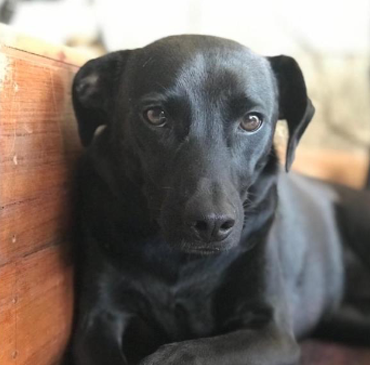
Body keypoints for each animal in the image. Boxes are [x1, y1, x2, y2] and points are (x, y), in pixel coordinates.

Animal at [69, 34, 370, 364]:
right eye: (156, 115)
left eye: (252, 120)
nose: (212, 224)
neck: (179, 260)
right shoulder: (98, 322)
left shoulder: (273, 333)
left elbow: (190, 353)